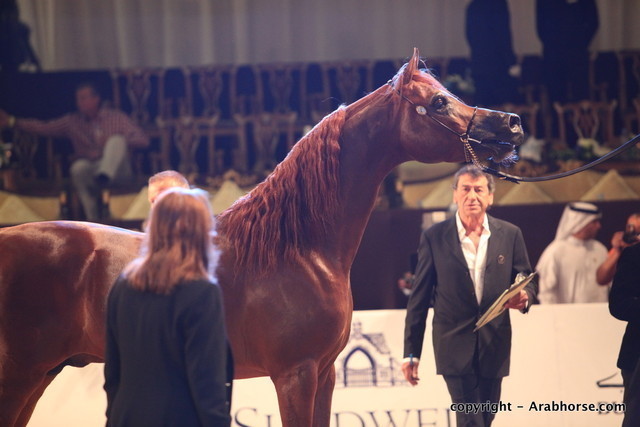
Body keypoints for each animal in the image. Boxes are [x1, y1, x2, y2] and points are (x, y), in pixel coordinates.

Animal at [0, 48, 523, 426]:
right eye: (437, 102)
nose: (511, 124)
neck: (300, 249)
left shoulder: (324, 375)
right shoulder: (295, 375)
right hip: (19, 376)